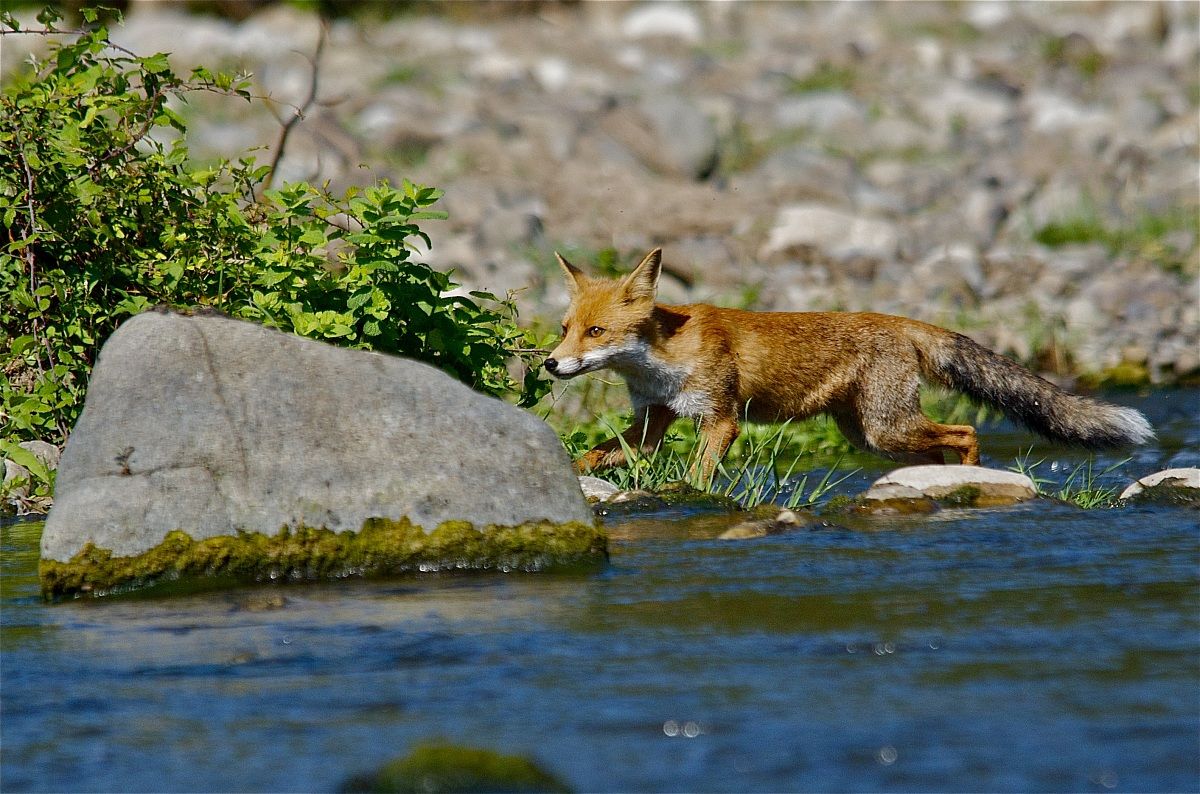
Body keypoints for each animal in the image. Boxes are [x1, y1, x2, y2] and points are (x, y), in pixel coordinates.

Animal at [544, 247, 1154, 479]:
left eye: (597, 332)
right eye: (565, 329)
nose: (550, 365)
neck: (664, 357)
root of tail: (900, 319)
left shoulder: (721, 417)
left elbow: (698, 472)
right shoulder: (654, 419)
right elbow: (597, 454)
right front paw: (570, 473)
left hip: (886, 427)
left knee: (965, 432)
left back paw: (971, 477)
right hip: (873, 435)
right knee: (941, 446)